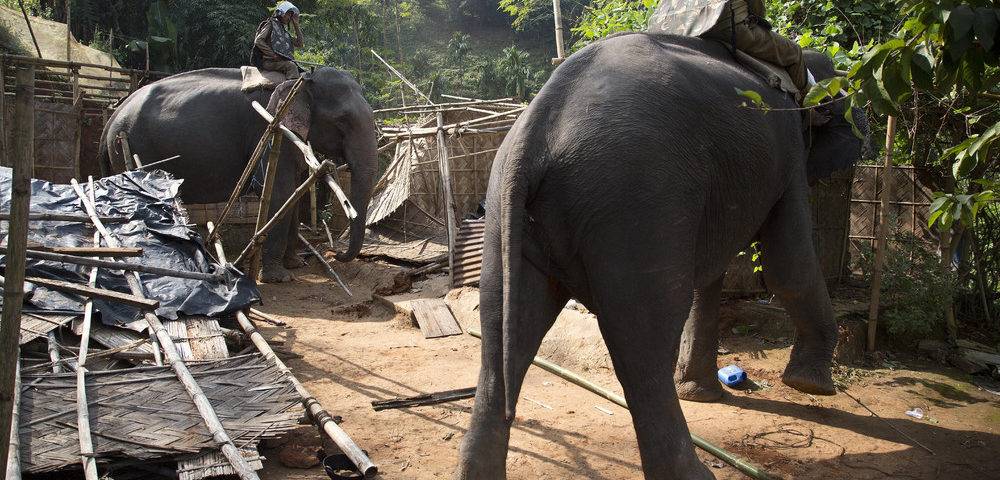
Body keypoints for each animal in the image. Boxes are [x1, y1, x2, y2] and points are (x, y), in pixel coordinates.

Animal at [99, 67, 376, 282]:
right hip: (131, 147)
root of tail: (111, 119)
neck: (301, 79)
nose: (335, 253)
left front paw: (296, 264)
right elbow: (280, 190)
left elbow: (294, 191)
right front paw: (279, 277)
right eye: (342, 121)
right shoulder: (272, 128)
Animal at [458, 31, 864, 478]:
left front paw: (703, 393)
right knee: (643, 342)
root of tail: (537, 126)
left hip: (506, 207)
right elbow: (789, 265)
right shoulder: (788, 152)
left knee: (501, 330)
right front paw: (811, 385)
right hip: (638, 201)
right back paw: (695, 472)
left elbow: (712, 275)